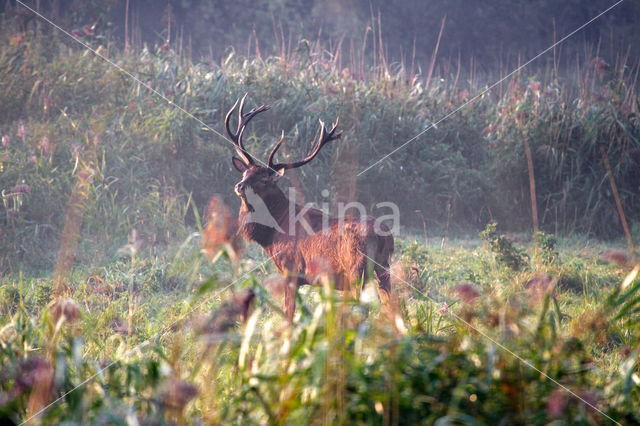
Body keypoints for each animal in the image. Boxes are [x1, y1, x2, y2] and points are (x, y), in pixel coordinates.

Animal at [225, 95, 396, 322]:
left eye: (264, 179)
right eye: (245, 173)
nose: (239, 186)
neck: (273, 232)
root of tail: (385, 235)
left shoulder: (291, 269)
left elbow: (289, 313)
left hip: (355, 268)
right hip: (384, 267)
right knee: (391, 305)